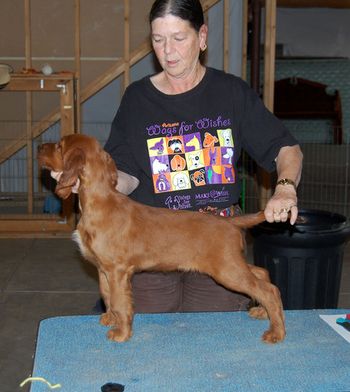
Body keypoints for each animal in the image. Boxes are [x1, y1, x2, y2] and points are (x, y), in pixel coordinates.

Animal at [37, 134, 284, 344]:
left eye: (59, 146)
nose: (39, 147)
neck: (99, 202)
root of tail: (230, 222)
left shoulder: (117, 271)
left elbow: (120, 302)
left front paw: (121, 333)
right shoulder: (102, 269)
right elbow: (107, 295)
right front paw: (110, 319)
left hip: (226, 270)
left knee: (267, 290)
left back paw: (276, 333)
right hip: (230, 264)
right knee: (263, 275)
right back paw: (263, 312)